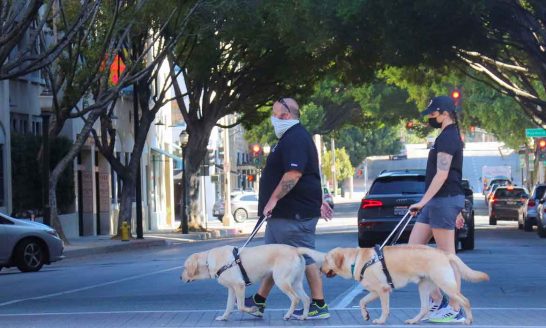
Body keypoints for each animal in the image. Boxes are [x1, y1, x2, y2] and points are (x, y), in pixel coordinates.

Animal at [300, 245, 486, 324]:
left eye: (325, 260)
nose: (319, 269)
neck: (356, 260)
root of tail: (444, 253)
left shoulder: (383, 290)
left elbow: (385, 308)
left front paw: (381, 320)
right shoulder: (375, 291)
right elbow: (361, 301)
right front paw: (365, 314)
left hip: (446, 284)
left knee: (466, 301)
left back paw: (469, 320)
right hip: (423, 286)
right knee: (425, 307)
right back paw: (413, 320)